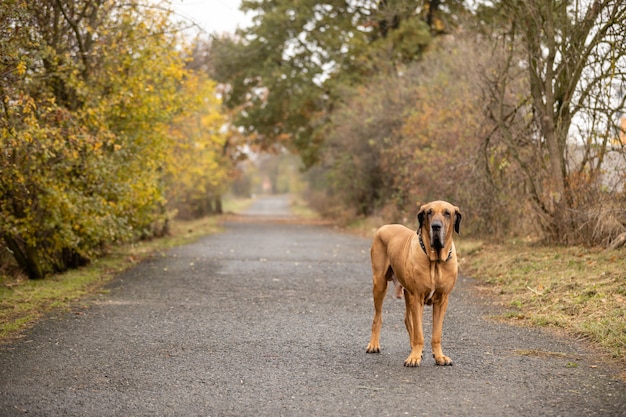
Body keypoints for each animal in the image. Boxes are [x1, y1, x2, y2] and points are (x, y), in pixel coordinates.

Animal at [366, 200, 458, 366]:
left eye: (447, 213)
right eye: (429, 212)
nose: (436, 226)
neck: (435, 262)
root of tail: (384, 226)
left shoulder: (442, 300)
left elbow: (436, 334)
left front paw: (439, 356)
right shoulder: (417, 297)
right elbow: (419, 333)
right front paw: (414, 357)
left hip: (407, 294)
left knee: (408, 319)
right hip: (380, 283)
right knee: (378, 316)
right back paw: (374, 344)